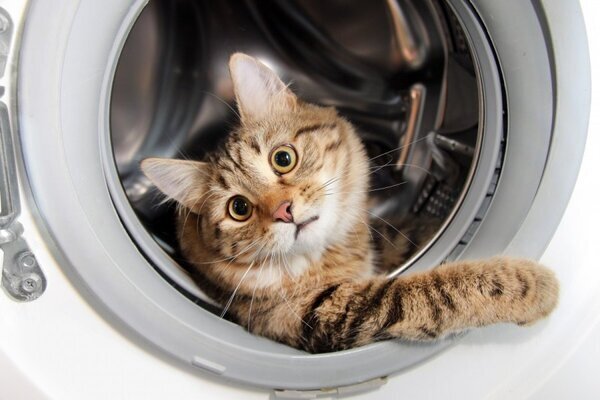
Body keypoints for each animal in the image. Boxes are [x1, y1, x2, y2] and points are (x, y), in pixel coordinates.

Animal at [141, 52, 556, 354]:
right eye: (239, 209)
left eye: (283, 159)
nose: (284, 212)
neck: (332, 254)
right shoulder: (327, 311)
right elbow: (431, 292)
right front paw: (529, 285)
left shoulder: (383, 240)